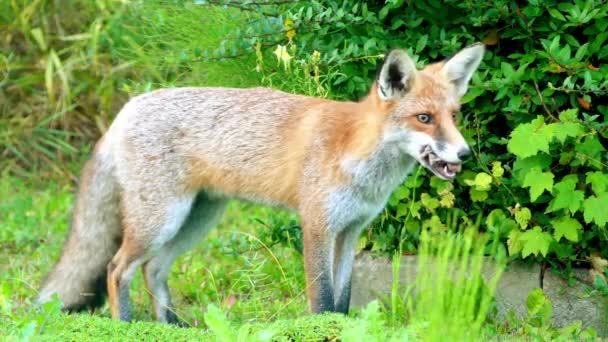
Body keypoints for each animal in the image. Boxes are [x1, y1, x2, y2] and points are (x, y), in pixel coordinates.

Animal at [36, 42, 484, 324]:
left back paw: (170, 328)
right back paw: (126, 327)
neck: (355, 153)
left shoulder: (350, 231)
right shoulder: (317, 225)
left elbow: (342, 300)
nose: (464, 155)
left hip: (195, 220)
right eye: (424, 118)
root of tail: (127, 108)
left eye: (454, 115)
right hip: (160, 221)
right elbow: (322, 298)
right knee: (116, 269)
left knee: (153, 270)